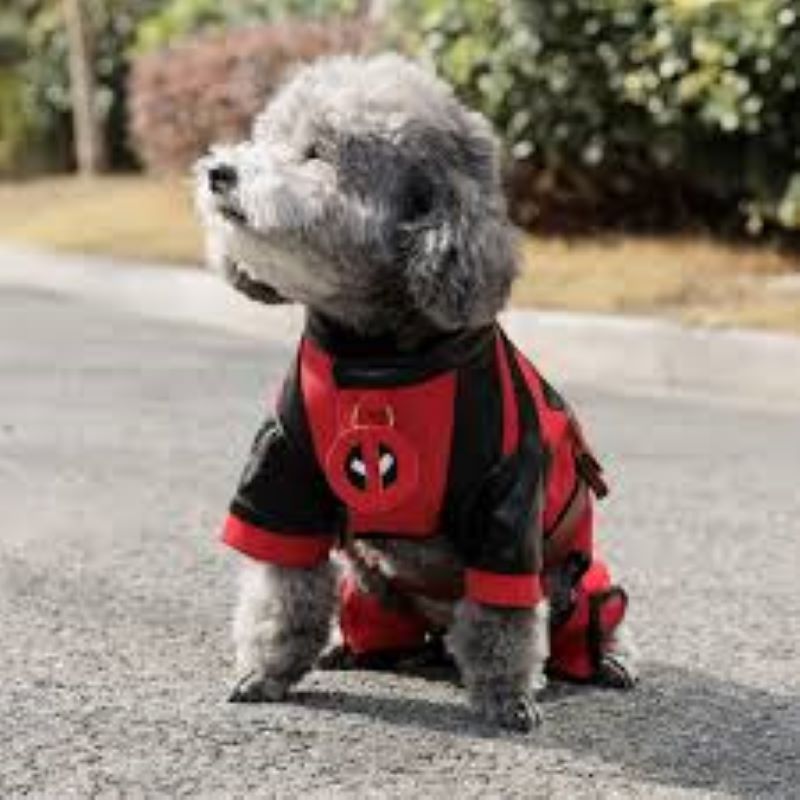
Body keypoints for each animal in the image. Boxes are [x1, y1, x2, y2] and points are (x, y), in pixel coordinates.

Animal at [195, 53, 636, 736]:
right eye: (265, 136)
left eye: (318, 153)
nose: (220, 172)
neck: (376, 357)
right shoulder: (283, 473)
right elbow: (283, 591)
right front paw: (267, 672)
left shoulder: (507, 506)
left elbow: (503, 624)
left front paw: (507, 697)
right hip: (370, 587)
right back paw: (351, 649)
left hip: (583, 582)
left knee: (588, 618)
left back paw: (608, 661)